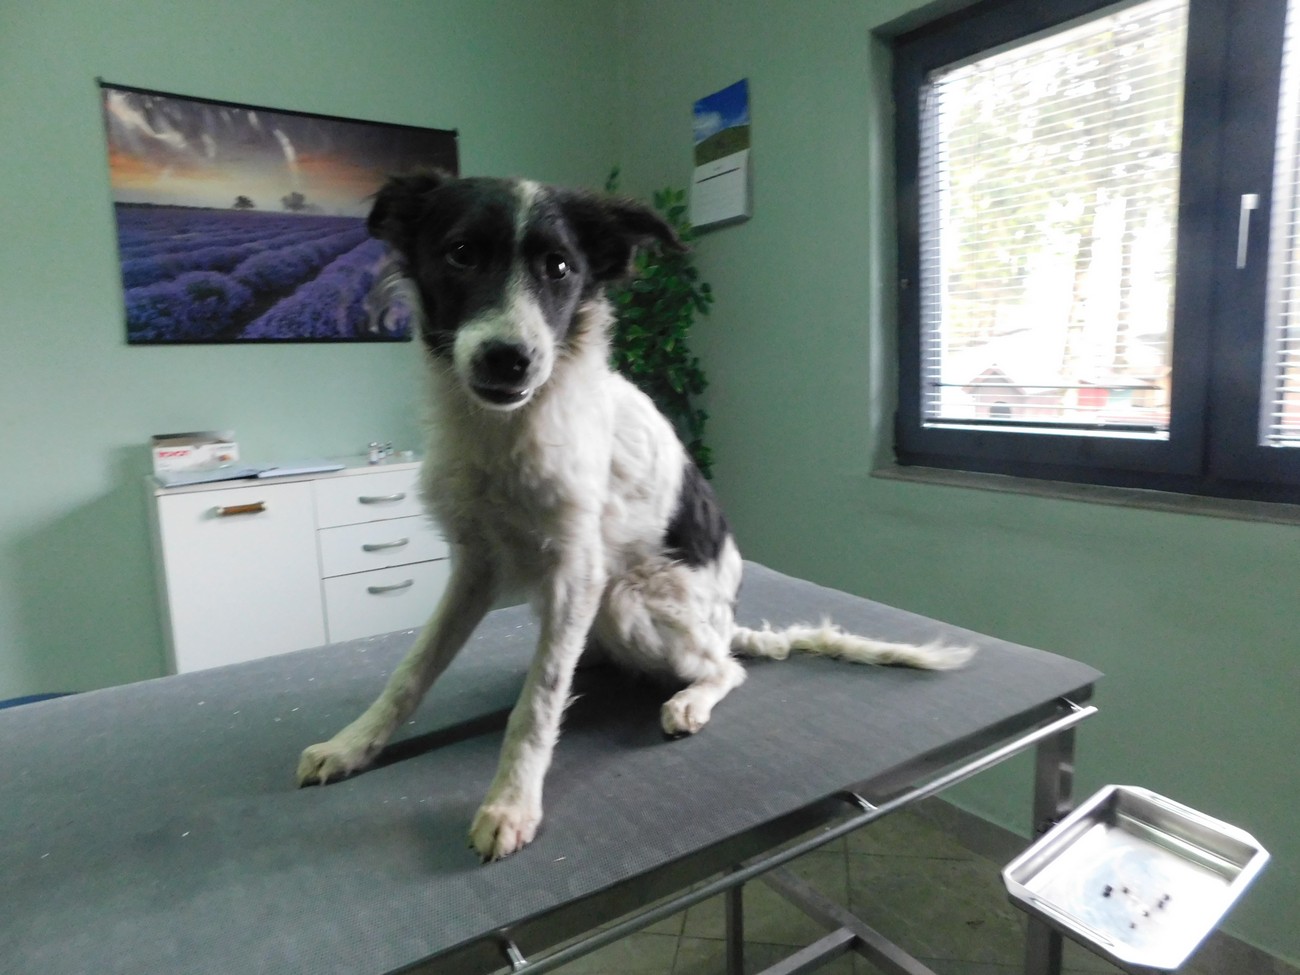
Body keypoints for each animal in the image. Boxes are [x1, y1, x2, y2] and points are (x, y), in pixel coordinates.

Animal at [296, 171, 973, 861]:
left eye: (559, 267)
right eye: (460, 253)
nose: (509, 359)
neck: (507, 429)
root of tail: (724, 626)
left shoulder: (577, 572)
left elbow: (537, 703)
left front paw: (512, 802)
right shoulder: (475, 565)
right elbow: (412, 670)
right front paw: (352, 745)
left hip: (628, 598)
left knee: (728, 668)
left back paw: (690, 699)